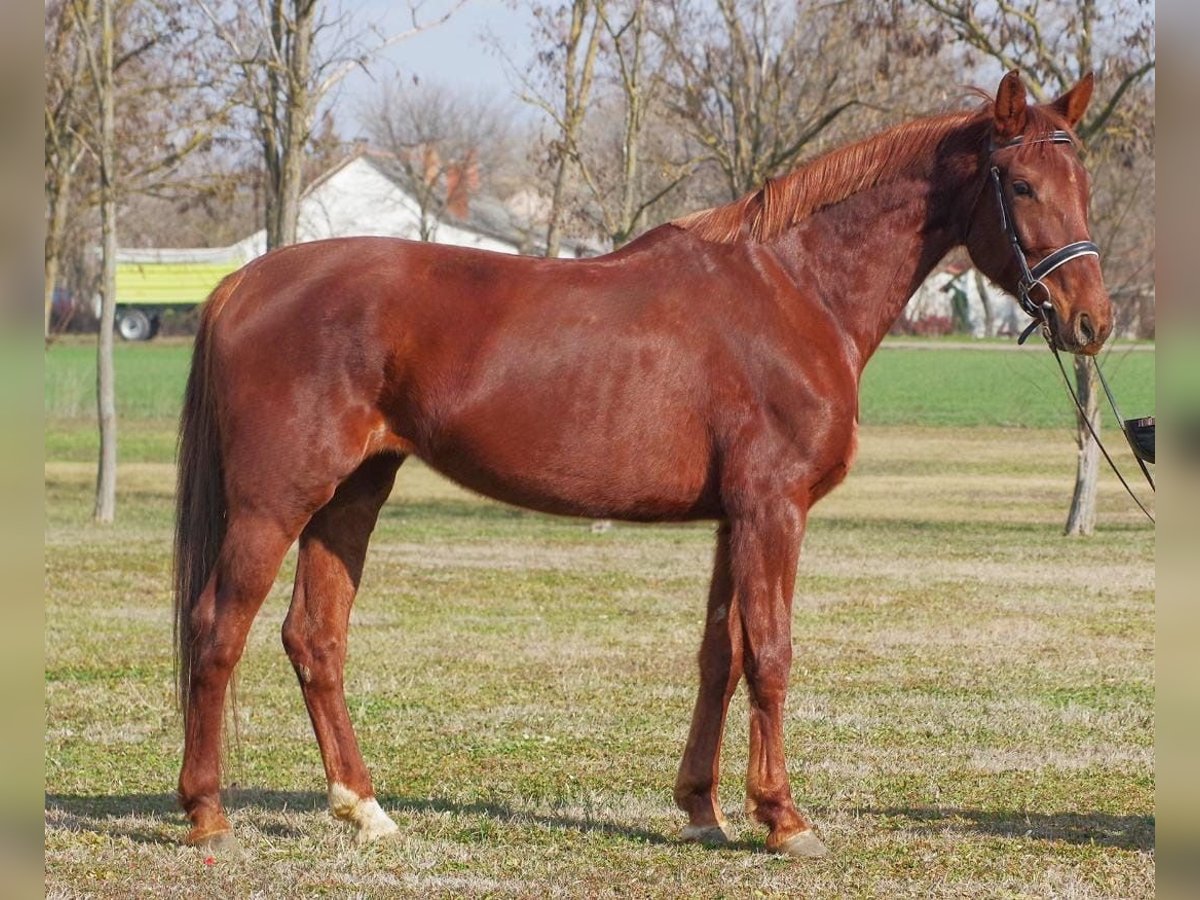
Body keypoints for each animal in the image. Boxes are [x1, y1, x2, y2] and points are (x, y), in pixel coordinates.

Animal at [174, 72, 1108, 859]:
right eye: (1022, 186)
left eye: (1083, 183)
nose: (1091, 321)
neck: (793, 290)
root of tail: (243, 283)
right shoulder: (773, 509)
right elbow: (771, 652)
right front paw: (785, 819)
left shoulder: (735, 519)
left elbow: (720, 656)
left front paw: (703, 810)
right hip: (276, 502)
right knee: (218, 626)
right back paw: (207, 812)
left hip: (352, 494)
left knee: (314, 637)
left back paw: (363, 808)